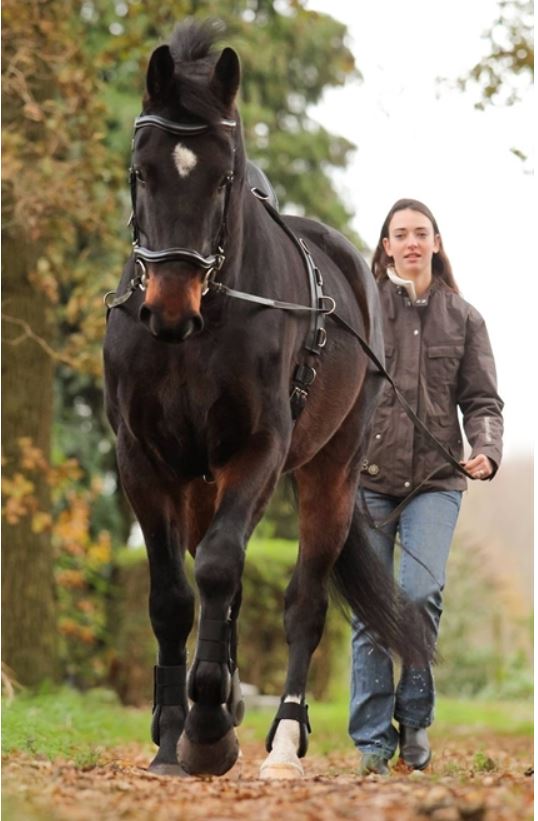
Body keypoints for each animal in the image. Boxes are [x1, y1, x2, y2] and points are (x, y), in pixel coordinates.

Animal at [104, 20, 430, 780]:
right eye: (142, 171)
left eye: (222, 178)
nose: (168, 308)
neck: (202, 329)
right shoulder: (143, 462)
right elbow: (174, 596)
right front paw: (175, 733)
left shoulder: (257, 450)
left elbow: (222, 570)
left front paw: (208, 731)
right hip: (201, 484)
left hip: (328, 474)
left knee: (301, 602)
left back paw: (281, 738)